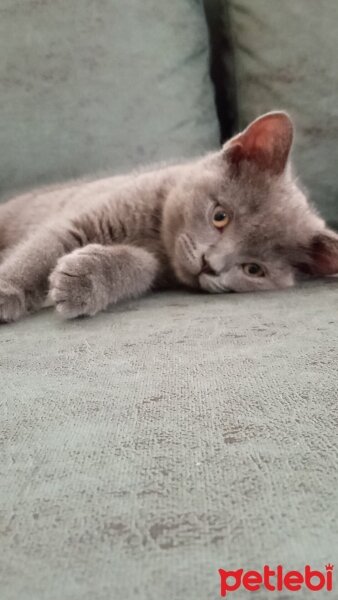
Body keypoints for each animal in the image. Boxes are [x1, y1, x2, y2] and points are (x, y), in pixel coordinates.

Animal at [0, 109, 338, 322]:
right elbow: (39, 253)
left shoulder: (159, 270)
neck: (156, 237)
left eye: (254, 269)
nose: (210, 265)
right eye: (220, 216)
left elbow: (142, 266)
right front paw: (6, 293)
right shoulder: (82, 220)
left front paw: (83, 279)